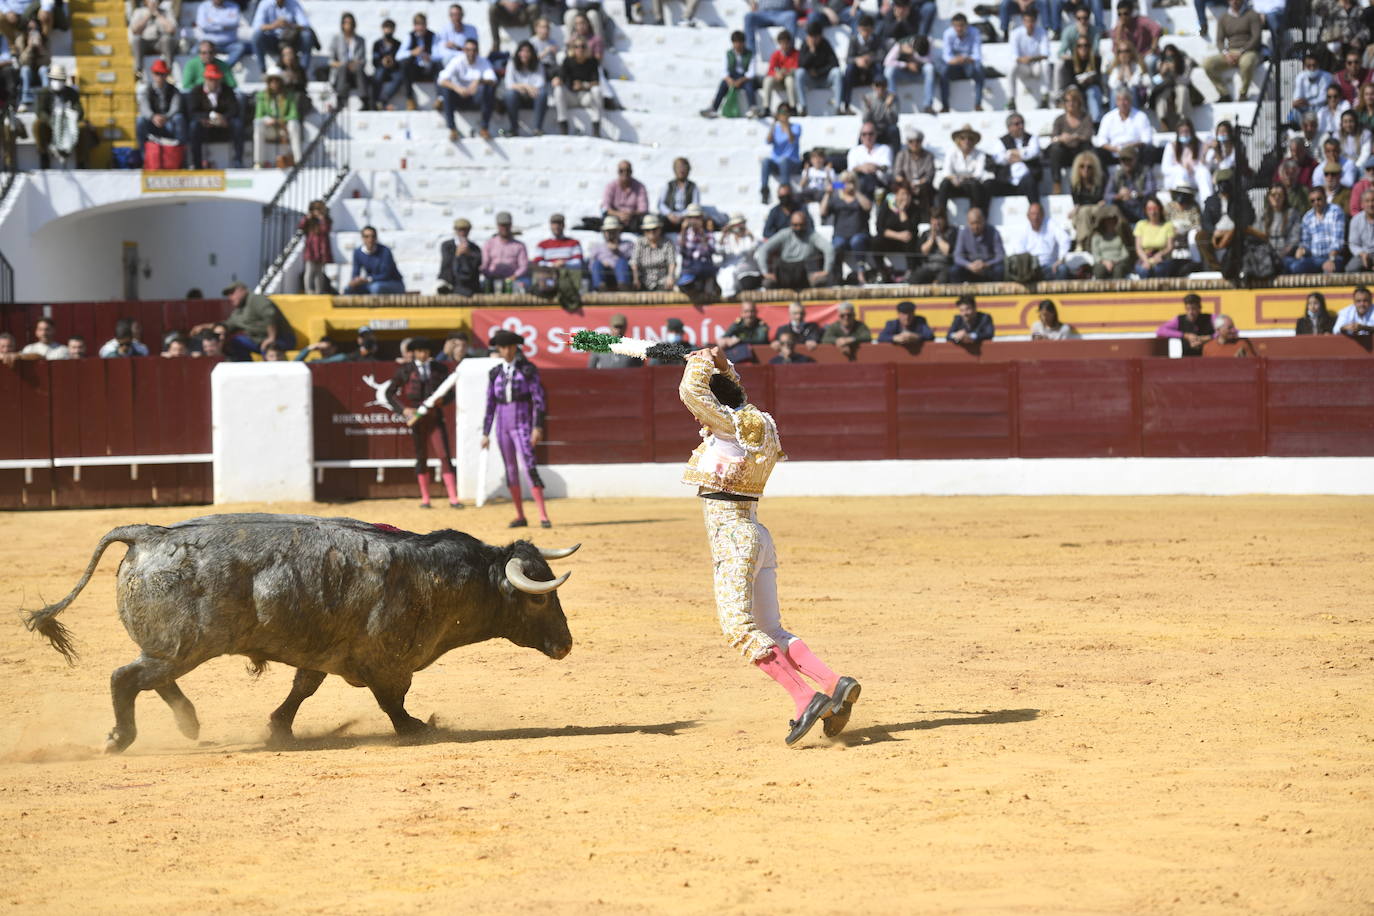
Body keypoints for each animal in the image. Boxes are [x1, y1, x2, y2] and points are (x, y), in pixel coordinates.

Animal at [26, 516, 574, 752]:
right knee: (126, 678)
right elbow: (392, 701)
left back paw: (189, 724)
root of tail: (147, 534)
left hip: (174, 647)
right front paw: (419, 728)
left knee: (152, 678)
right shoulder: (386, 661)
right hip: (185, 645)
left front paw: (278, 728)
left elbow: (302, 688)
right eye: (538, 597)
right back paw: (121, 738)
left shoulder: (325, 653)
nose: (567, 644)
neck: (446, 578)